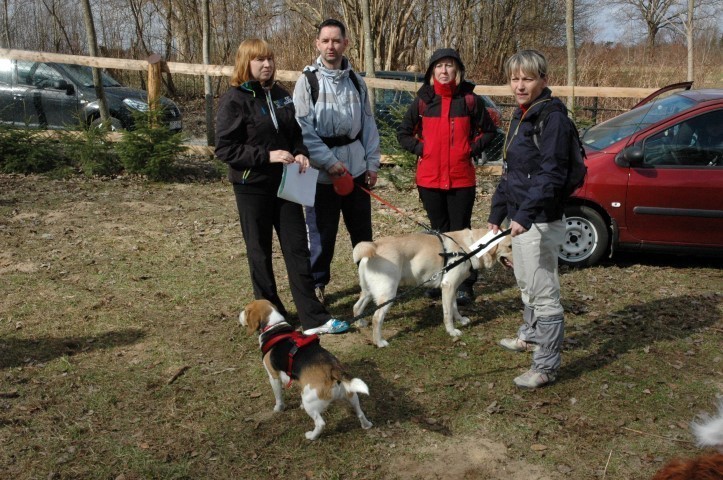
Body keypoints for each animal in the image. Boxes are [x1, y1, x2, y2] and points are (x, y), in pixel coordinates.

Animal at [240, 302, 374, 440]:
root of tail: (332, 370)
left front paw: (278, 408)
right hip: (351, 395)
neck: (274, 326)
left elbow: (278, 396)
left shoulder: (273, 376)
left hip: (310, 402)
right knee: (359, 412)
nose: (239, 315)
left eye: (245, 311)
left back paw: (311, 436)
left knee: (320, 423)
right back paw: (366, 425)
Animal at [352, 227, 512, 346]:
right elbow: (447, 313)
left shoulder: (452, 287)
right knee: (376, 318)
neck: (469, 246)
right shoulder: (448, 286)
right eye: (510, 246)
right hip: (388, 294)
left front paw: (460, 320)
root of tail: (374, 245)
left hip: (368, 291)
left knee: (357, 306)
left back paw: (360, 323)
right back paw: (379, 342)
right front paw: (452, 331)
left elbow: (454, 307)